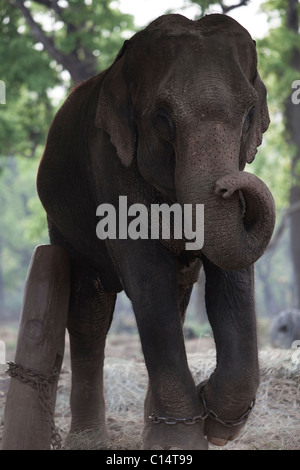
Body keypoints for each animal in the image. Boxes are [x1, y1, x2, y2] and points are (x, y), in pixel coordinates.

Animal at [37, 12, 276, 450]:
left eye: (250, 114)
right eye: (163, 118)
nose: (230, 186)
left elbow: (230, 279)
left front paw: (214, 422)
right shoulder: (110, 162)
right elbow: (148, 279)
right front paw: (180, 439)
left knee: (179, 298)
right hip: (61, 225)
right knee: (90, 312)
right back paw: (89, 439)